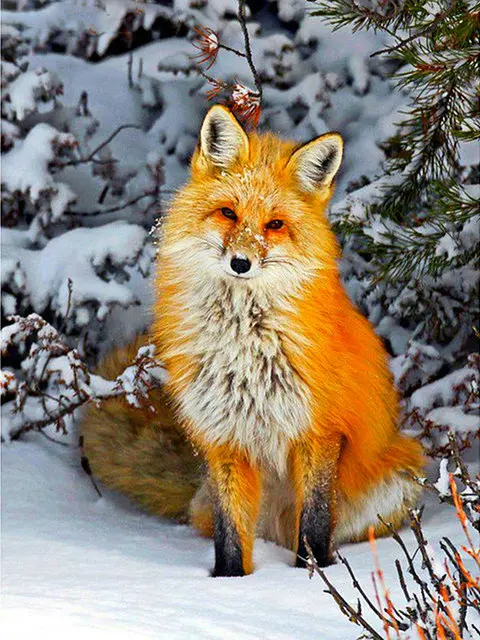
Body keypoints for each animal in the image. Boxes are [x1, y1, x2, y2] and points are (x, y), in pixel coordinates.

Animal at [81, 105, 424, 577]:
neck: (244, 342)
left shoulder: (318, 431)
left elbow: (315, 526)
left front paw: (310, 579)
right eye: (228, 213)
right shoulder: (224, 437)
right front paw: (233, 586)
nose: (241, 263)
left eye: (275, 225)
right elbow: (230, 538)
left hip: (399, 482)